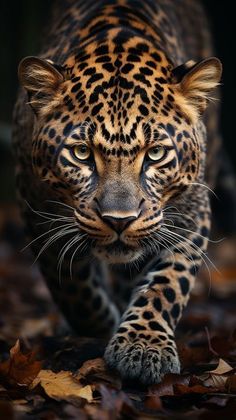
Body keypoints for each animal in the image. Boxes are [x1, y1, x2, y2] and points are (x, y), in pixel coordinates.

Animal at [12, 0, 232, 384]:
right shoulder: (37, 210)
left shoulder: (191, 213)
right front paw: (102, 327)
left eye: (155, 154)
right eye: (81, 153)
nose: (119, 221)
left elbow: (167, 284)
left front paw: (142, 347)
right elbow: (73, 286)